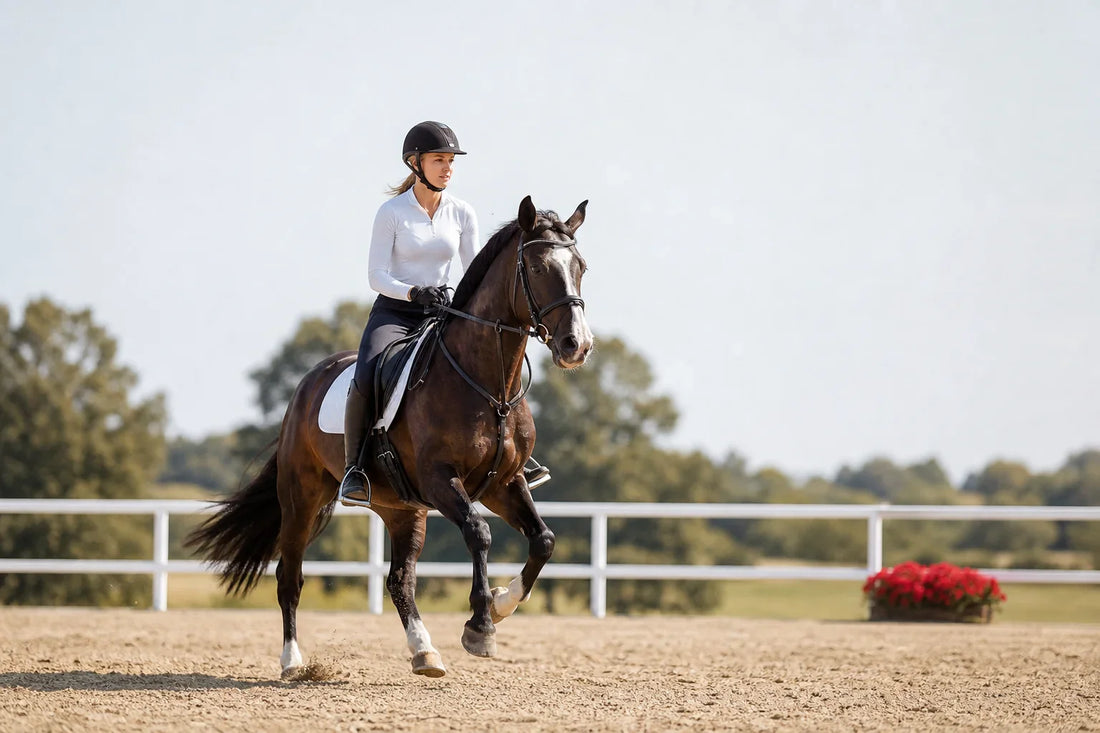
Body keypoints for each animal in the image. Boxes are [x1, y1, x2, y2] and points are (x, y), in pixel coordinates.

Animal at [185, 195, 592, 679]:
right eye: (536, 267)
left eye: (581, 266)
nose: (576, 345)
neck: (488, 387)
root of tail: (308, 382)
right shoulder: (441, 480)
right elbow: (479, 533)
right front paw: (480, 626)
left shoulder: (503, 483)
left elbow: (543, 540)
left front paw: (501, 603)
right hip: (302, 497)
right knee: (290, 576)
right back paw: (292, 661)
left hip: (401, 508)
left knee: (400, 580)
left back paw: (424, 652)